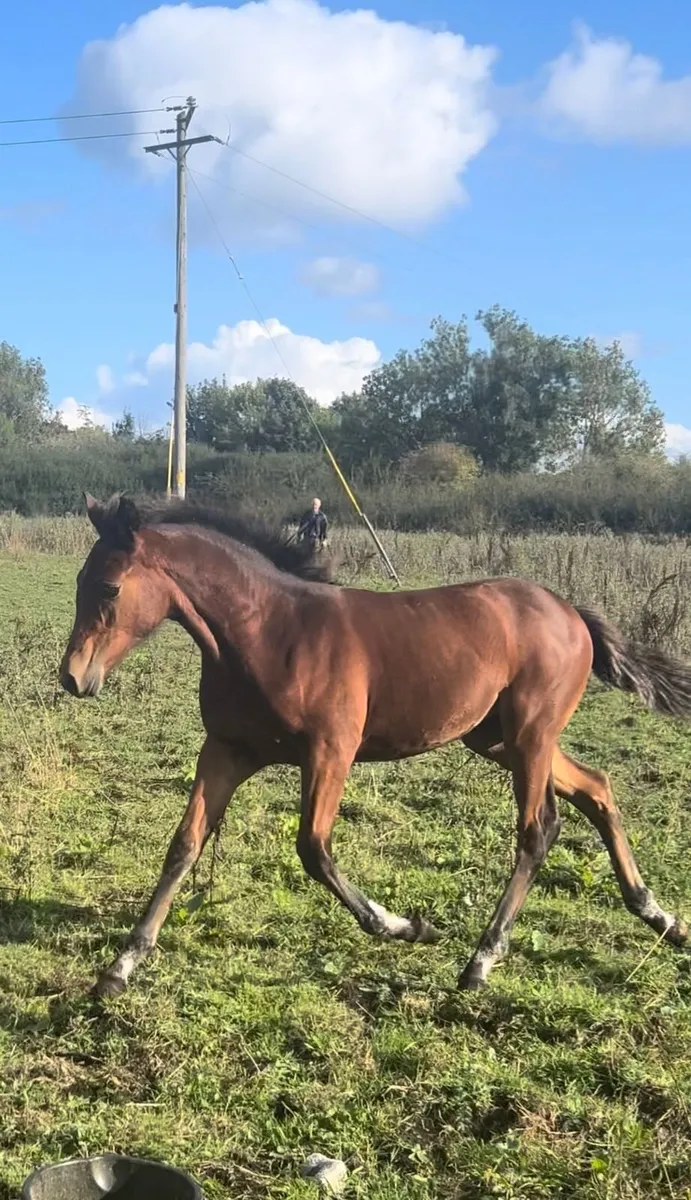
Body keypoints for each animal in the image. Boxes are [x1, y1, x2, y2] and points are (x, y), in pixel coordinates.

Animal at [60, 493, 691, 999]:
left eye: (110, 587)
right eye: (77, 582)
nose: (72, 678)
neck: (267, 632)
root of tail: (571, 611)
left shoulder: (331, 750)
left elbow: (314, 849)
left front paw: (406, 927)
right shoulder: (226, 749)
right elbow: (183, 846)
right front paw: (120, 967)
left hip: (530, 732)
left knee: (538, 831)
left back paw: (481, 961)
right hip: (495, 738)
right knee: (596, 789)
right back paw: (660, 916)